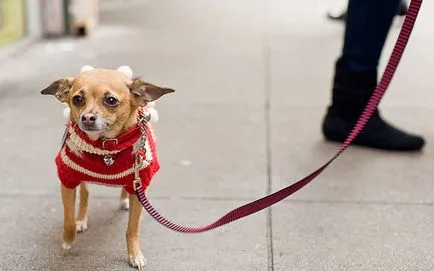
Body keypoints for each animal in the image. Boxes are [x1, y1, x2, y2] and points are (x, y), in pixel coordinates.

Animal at [41, 66, 175, 270]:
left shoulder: (139, 186)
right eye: (77, 99)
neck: (106, 148)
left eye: (111, 100)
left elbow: (132, 229)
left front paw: (135, 255)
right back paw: (82, 219)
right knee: (85, 194)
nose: (87, 117)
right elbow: (69, 218)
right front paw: (68, 239)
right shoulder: (68, 181)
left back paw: (124, 200)